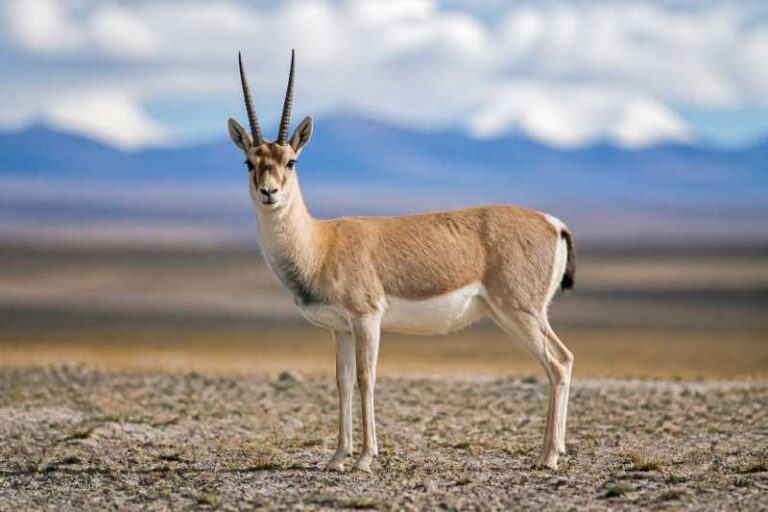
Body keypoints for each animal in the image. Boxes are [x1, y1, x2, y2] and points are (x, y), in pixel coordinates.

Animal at [228, 51, 575, 472]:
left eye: (291, 161)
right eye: (250, 162)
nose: (269, 193)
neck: (321, 244)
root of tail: (553, 224)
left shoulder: (366, 319)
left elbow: (366, 379)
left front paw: (364, 458)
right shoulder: (340, 329)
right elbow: (342, 382)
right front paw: (337, 458)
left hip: (520, 311)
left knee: (557, 363)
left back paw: (548, 456)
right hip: (514, 314)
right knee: (560, 361)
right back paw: (553, 450)